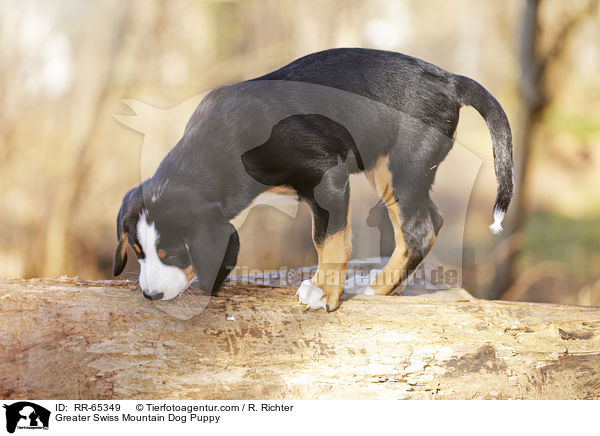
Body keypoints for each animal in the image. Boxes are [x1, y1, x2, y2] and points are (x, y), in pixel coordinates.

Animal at [113, 47, 516, 312]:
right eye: (137, 252)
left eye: (173, 253)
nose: (149, 295)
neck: (222, 144)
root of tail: (449, 79)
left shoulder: (328, 178)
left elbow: (329, 241)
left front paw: (323, 292)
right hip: (401, 172)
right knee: (430, 220)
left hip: (399, 167)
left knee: (419, 231)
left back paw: (377, 289)